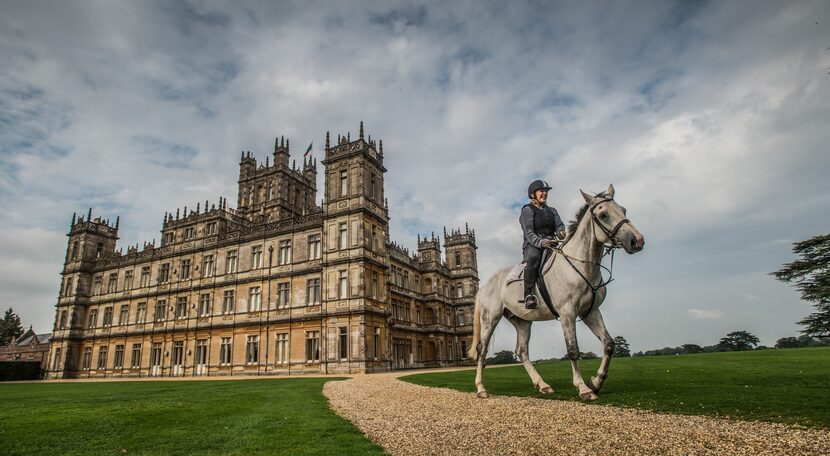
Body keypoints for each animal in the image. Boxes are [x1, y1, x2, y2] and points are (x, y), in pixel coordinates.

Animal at [468, 184, 644, 400]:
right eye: (603, 215)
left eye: (623, 210)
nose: (637, 241)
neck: (581, 266)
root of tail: (485, 285)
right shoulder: (567, 312)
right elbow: (573, 349)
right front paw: (583, 388)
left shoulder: (591, 312)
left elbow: (609, 344)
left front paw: (596, 382)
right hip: (490, 317)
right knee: (482, 349)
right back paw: (481, 388)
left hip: (522, 320)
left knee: (522, 350)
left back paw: (543, 385)